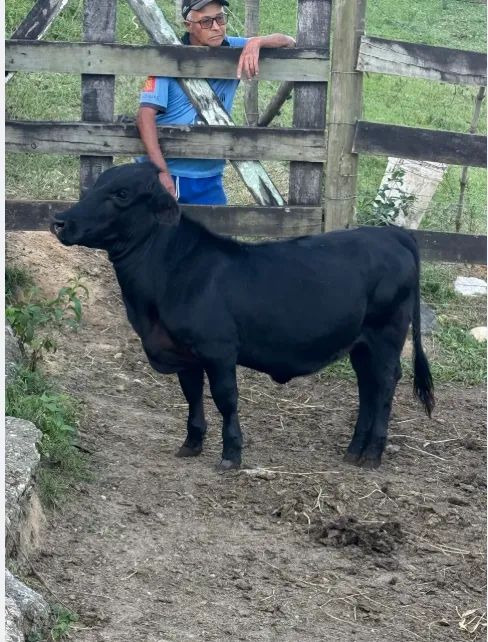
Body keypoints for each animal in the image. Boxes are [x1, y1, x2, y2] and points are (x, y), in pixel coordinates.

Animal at [51, 162, 434, 471]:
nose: (59, 221)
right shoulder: (184, 352)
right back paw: (354, 451)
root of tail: (391, 233)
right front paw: (191, 444)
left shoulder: (218, 350)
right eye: (96, 185)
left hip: (387, 335)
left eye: (122, 193)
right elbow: (192, 395)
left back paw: (372, 454)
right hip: (361, 344)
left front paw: (231, 454)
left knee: (384, 384)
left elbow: (225, 399)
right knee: (367, 386)